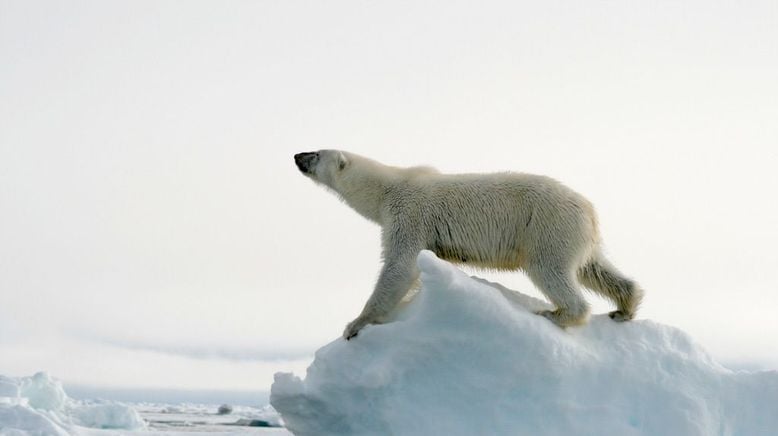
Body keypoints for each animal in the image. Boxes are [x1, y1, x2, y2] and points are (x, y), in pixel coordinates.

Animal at [294, 151, 640, 340]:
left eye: (316, 153)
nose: (297, 155)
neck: (387, 187)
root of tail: (589, 210)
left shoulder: (409, 214)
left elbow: (400, 266)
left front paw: (355, 324)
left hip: (547, 228)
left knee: (551, 270)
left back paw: (553, 313)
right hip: (576, 236)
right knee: (595, 269)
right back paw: (624, 306)